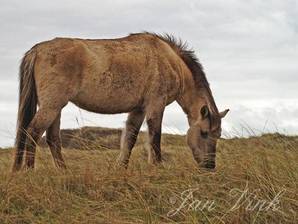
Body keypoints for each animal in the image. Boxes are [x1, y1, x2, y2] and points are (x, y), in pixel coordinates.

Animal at [11, 32, 228, 172]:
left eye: (217, 135)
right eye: (204, 133)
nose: (210, 166)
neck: (170, 61)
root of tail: (37, 50)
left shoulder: (139, 109)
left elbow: (130, 138)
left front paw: (121, 168)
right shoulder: (155, 105)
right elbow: (155, 138)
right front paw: (157, 167)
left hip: (55, 107)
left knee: (52, 138)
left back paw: (63, 171)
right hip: (52, 105)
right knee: (33, 132)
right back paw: (30, 171)